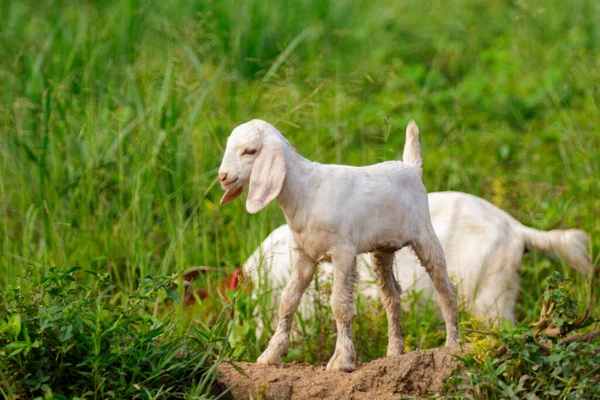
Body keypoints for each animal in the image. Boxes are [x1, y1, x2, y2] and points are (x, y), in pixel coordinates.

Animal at [218, 119, 458, 372]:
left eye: (250, 151)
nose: (223, 176)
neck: (306, 192)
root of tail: (411, 168)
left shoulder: (343, 252)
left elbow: (340, 304)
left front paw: (341, 360)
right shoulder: (305, 255)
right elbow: (288, 300)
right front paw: (271, 354)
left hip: (425, 234)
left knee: (445, 289)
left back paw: (452, 345)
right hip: (383, 250)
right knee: (392, 297)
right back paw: (394, 353)